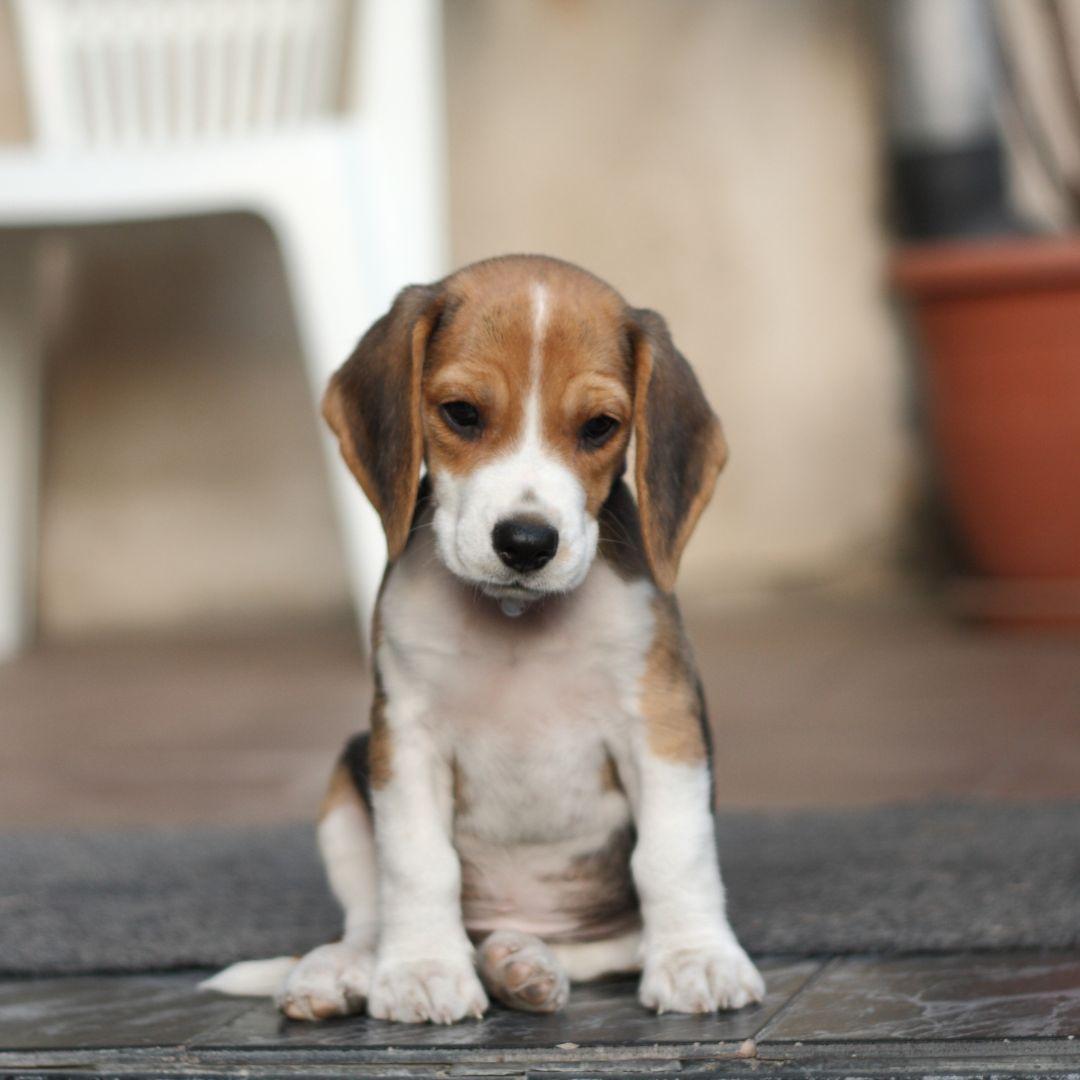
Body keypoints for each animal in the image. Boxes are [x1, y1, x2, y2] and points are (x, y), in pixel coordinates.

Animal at [206, 250, 764, 1019]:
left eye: (599, 427)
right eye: (462, 415)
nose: (527, 543)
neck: (514, 623)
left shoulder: (662, 725)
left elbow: (672, 852)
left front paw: (696, 958)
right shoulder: (405, 737)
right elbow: (417, 862)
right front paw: (421, 970)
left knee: (598, 948)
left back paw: (519, 961)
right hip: (346, 776)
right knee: (368, 919)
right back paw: (347, 969)